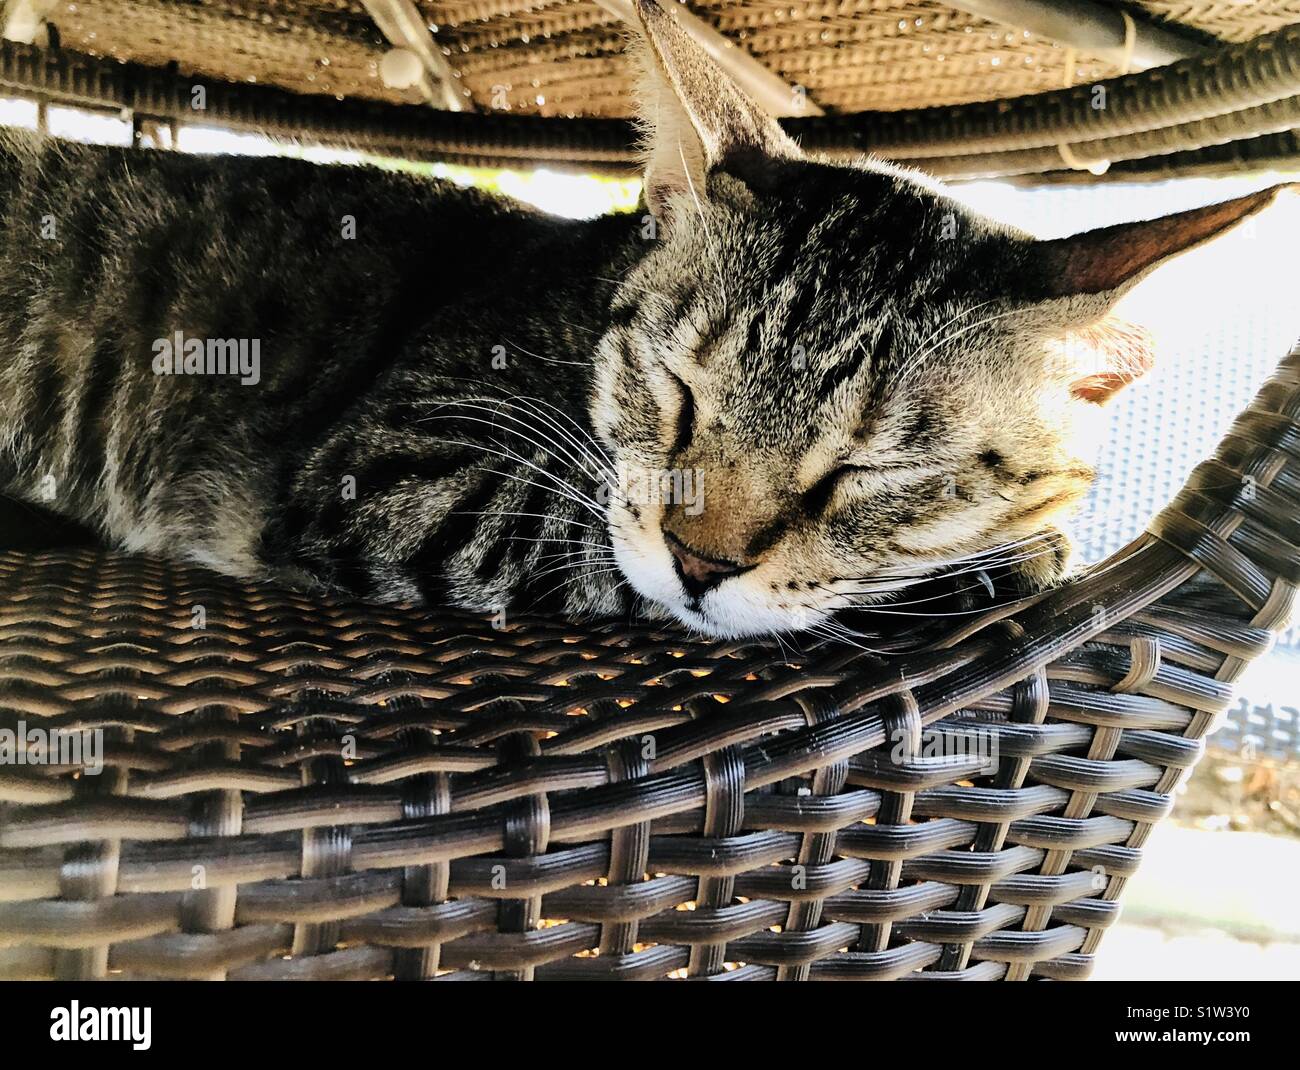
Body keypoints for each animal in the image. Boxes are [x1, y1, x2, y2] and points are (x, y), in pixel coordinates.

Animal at [0, 0, 1284, 637]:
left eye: (868, 470)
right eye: (676, 393)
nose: (703, 558)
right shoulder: (399, 467)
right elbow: (581, 542)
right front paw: (1005, 556)